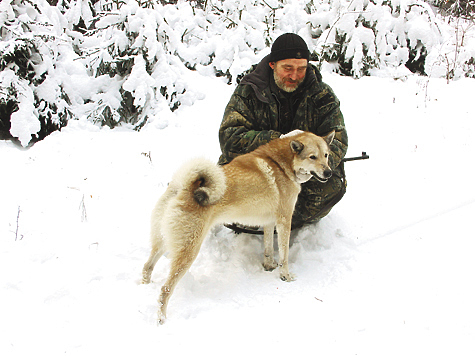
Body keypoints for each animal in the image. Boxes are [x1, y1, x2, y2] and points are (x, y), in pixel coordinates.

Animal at [141, 130, 334, 322]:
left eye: (326, 155)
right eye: (312, 157)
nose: (329, 172)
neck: (282, 164)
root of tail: (183, 186)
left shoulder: (269, 222)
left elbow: (268, 248)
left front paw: (268, 265)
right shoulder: (284, 220)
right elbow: (284, 255)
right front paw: (284, 276)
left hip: (165, 241)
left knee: (147, 266)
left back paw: (144, 286)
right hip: (188, 251)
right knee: (165, 289)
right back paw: (161, 318)